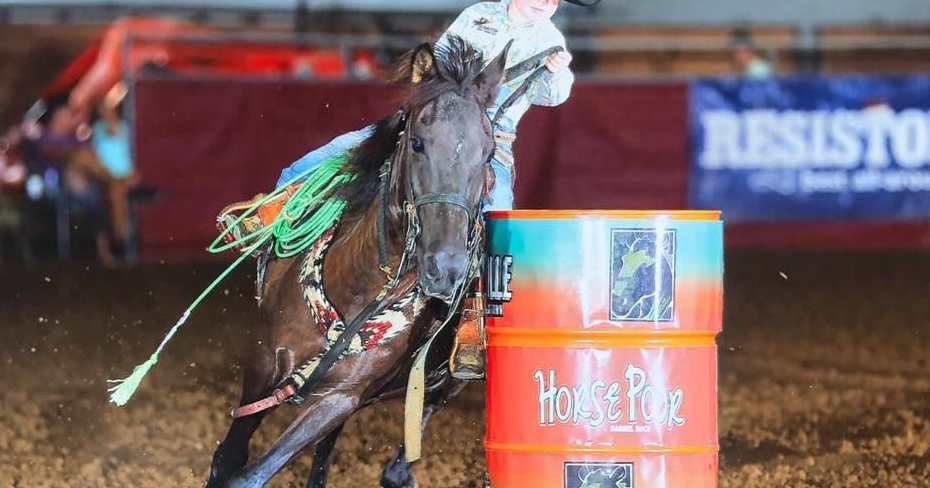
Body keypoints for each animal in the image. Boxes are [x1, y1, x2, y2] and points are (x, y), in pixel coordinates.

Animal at [206, 36, 509, 488]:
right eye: (417, 142)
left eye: (489, 154)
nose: (447, 268)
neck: (358, 287)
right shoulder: (261, 364)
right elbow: (229, 459)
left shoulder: (338, 399)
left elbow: (251, 475)